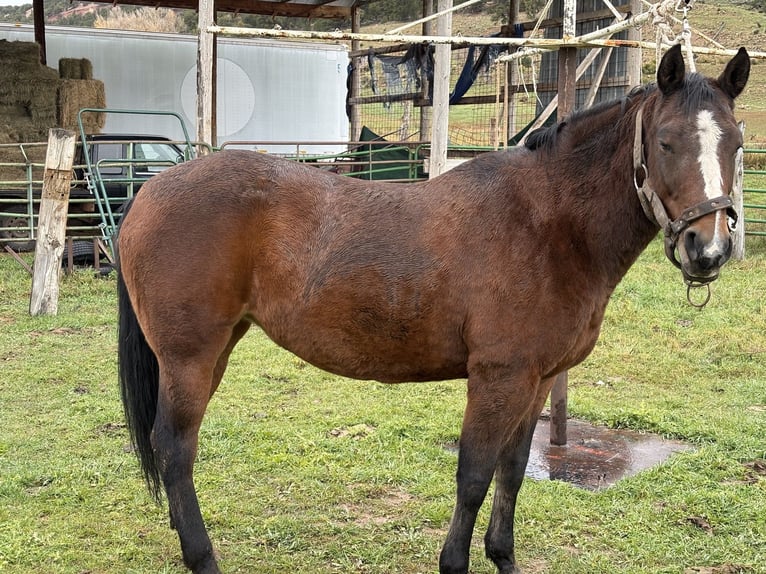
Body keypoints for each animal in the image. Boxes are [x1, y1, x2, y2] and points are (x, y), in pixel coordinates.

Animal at [116, 44, 750, 574]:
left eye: (736, 145)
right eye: (665, 141)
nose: (709, 250)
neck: (547, 223)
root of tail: (149, 193)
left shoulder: (539, 380)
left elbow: (512, 474)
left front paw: (503, 557)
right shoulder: (497, 378)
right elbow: (473, 476)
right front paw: (456, 561)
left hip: (217, 348)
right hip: (189, 357)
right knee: (175, 448)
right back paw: (201, 557)